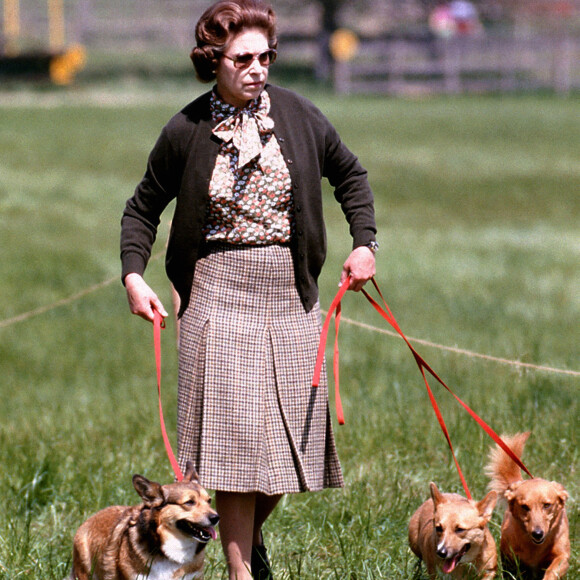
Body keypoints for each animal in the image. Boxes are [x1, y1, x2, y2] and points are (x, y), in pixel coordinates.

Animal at [484, 432, 572, 580]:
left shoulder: (562, 555)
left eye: (547, 505)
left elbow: (553, 569)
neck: (534, 548)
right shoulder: (508, 557)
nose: (537, 534)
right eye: (524, 506)